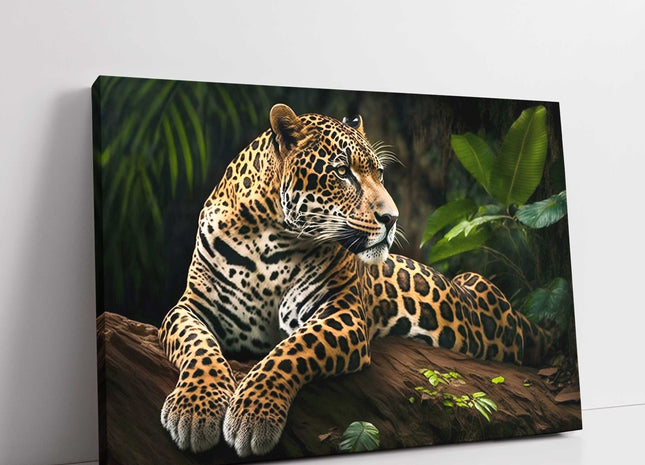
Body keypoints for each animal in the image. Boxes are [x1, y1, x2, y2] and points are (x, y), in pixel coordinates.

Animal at [158, 104, 551, 457]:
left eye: (379, 174)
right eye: (343, 172)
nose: (392, 218)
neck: (270, 238)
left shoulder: (341, 312)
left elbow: (290, 349)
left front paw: (253, 413)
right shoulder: (189, 308)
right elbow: (198, 348)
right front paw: (195, 410)